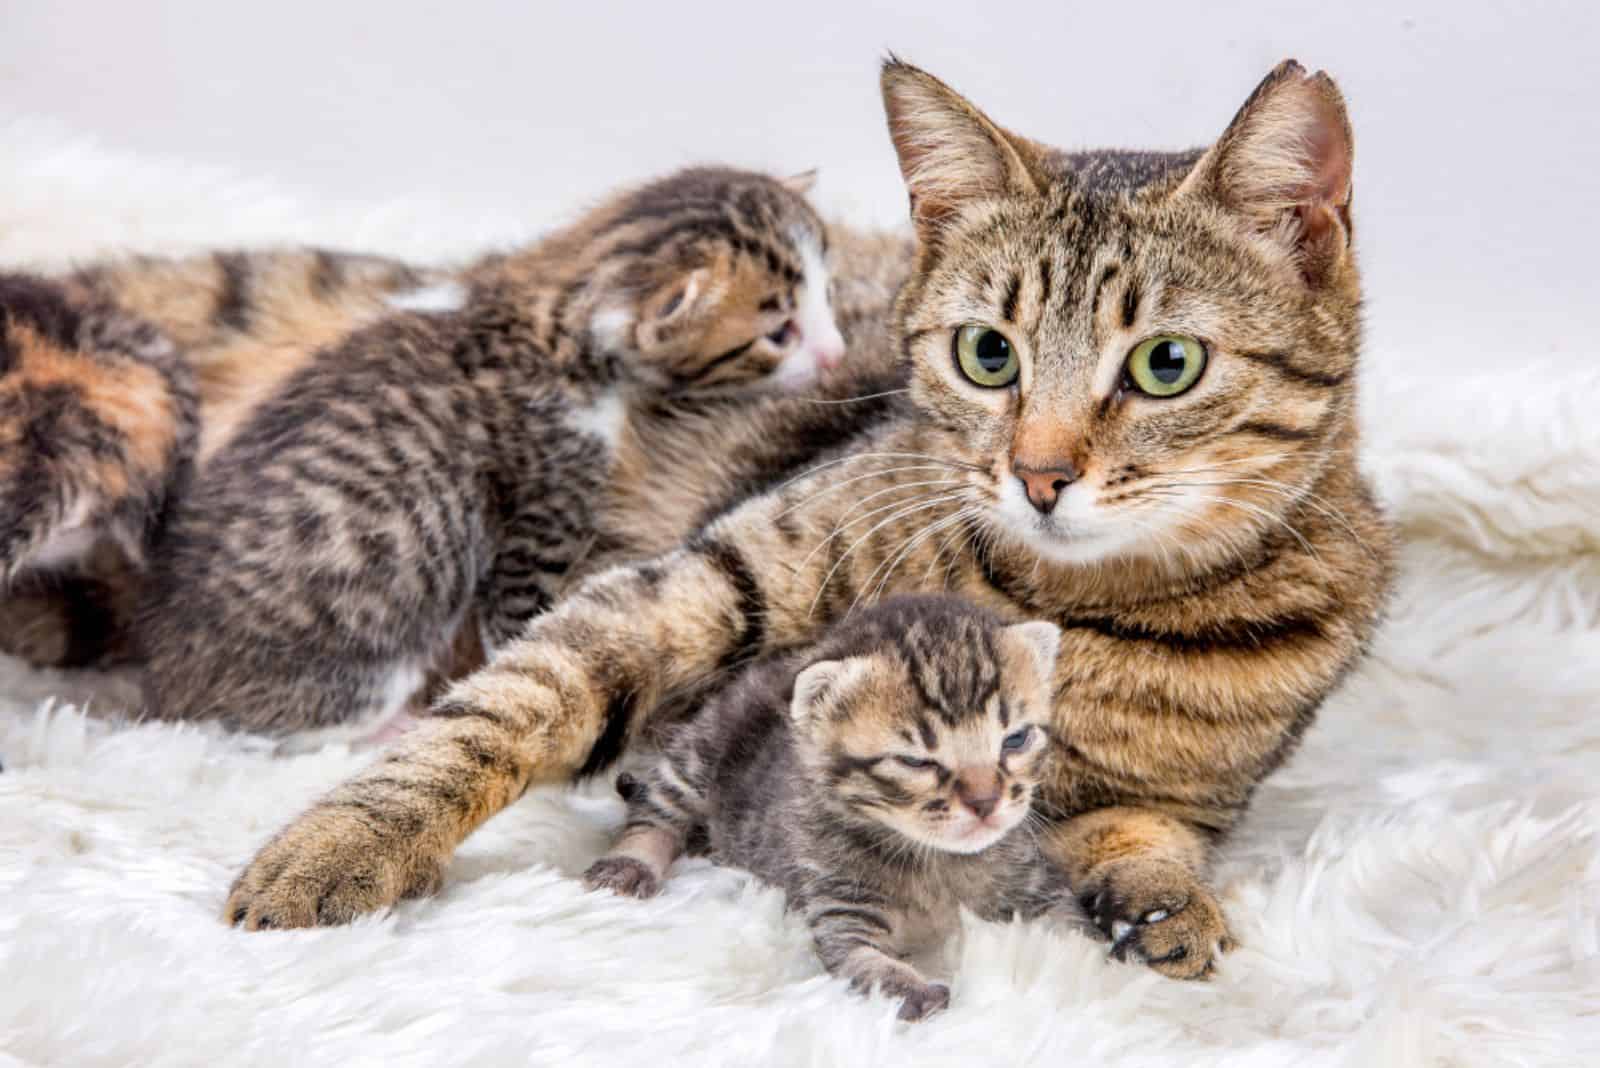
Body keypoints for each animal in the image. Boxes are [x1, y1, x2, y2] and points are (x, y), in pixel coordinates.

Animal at [225, 54, 1388, 978]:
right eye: (988, 353)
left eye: (1165, 364)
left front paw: (1165, 903)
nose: (1038, 474)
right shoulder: (697, 582)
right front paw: (340, 842)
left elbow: (1143, 834)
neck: (1089, 605)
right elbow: (507, 709)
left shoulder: (1179, 797)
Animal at [588, 597, 1075, 1023]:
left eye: (1015, 740)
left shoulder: (1038, 884)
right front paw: (907, 986)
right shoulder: (840, 904)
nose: (985, 802)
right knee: (655, 806)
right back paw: (630, 861)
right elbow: (860, 957)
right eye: (916, 761)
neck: (934, 861)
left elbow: (1070, 926)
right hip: (699, 753)